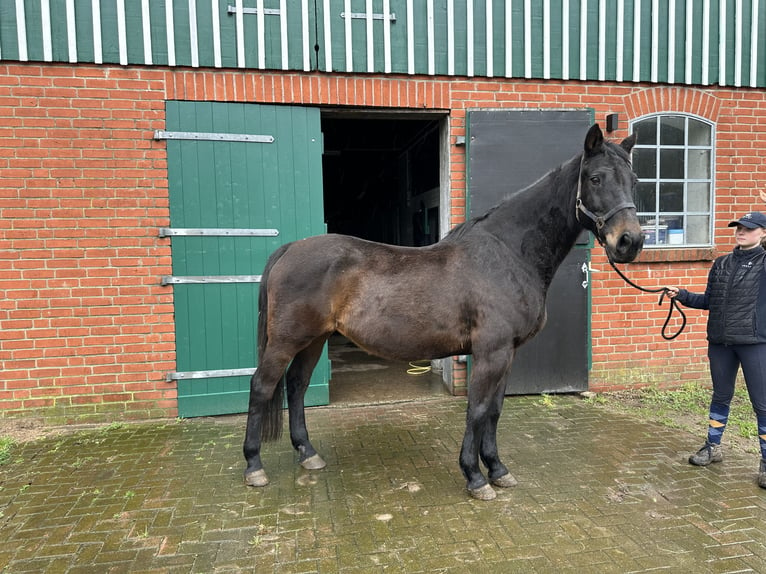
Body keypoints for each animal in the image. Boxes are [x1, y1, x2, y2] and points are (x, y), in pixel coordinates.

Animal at [243, 125, 644, 500]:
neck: (509, 254)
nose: (630, 241)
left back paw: (307, 453)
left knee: (296, 386)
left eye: (635, 181)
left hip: (315, 339)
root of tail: (290, 248)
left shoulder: (508, 353)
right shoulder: (490, 352)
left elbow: (495, 410)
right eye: (595, 178)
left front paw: (498, 469)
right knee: (262, 386)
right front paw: (475, 477)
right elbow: (477, 410)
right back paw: (254, 466)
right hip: (286, 341)